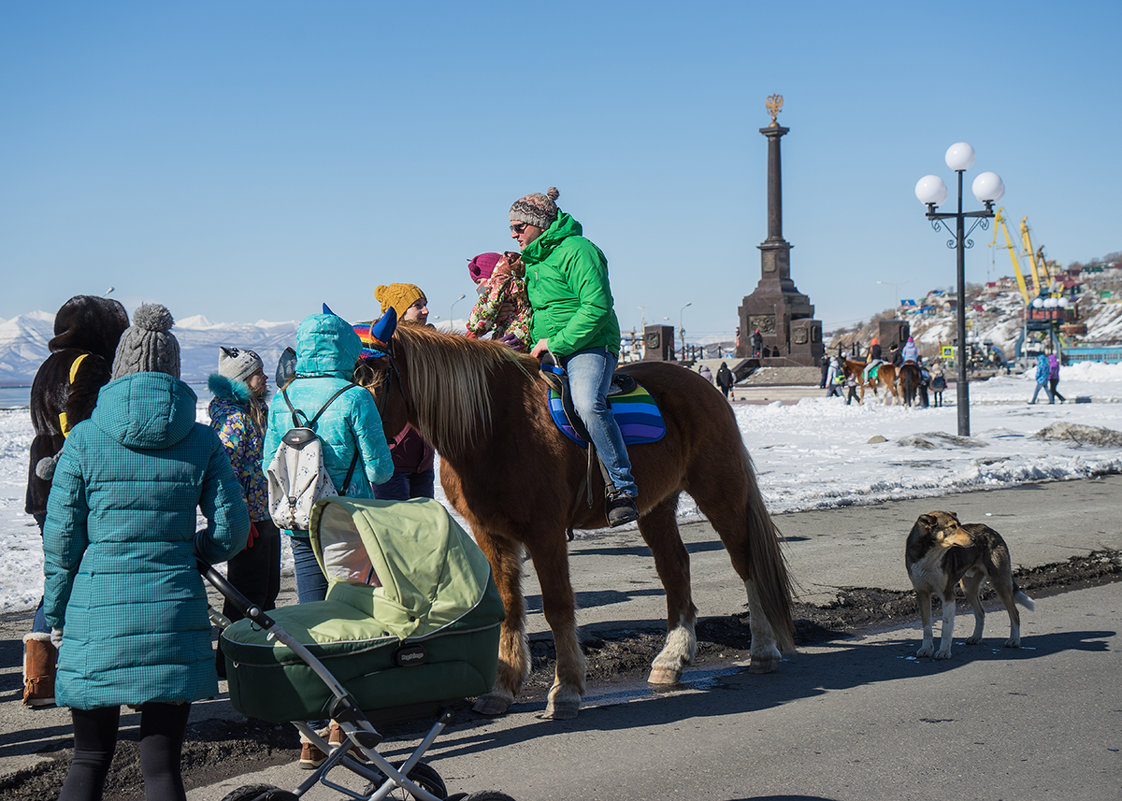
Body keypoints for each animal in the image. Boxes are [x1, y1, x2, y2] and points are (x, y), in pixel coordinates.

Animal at [361, 323, 798, 717]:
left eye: (371, 377)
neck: (494, 426)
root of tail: (707, 387)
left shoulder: (545, 532)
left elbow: (557, 606)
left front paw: (566, 688)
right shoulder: (490, 534)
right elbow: (508, 605)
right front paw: (502, 689)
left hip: (720, 493)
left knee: (746, 563)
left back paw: (762, 650)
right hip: (657, 507)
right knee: (675, 568)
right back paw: (671, 659)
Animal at [902, 511, 1032, 655]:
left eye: (959, 524)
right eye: (952, 526)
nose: (974, 539)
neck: (931, 556)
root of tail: (990, 530)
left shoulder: (947, 595)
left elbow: (946, 628)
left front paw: (944, 652)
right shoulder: (922, 593)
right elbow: (926, 627)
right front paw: (926, 649)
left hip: (1000, 583)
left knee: (1015, 613)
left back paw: (1014, 640)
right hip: (968, 588)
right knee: (981, 612)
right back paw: (976, 637)